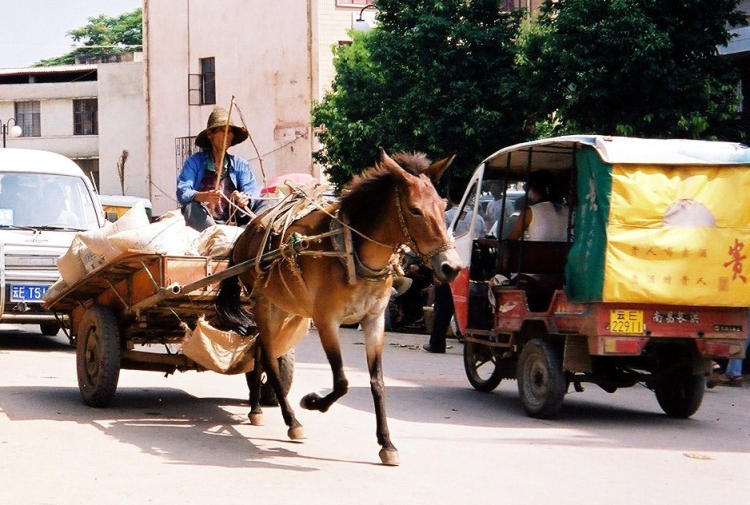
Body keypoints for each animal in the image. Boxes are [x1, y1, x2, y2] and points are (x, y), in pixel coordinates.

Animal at [216, 149, 463, 465]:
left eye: (443, 207)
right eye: (415, 210)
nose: (451, 267)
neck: (351, 253)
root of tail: (246, 233)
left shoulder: (374, 320)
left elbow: (377, 382)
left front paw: (387, 444)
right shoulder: (326, 321)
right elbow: (342, 380)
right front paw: (312, 402)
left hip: (284, 307)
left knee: (260, 351)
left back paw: (256, 407)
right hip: (262, 304)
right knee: (269, 358)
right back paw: (292, 421)